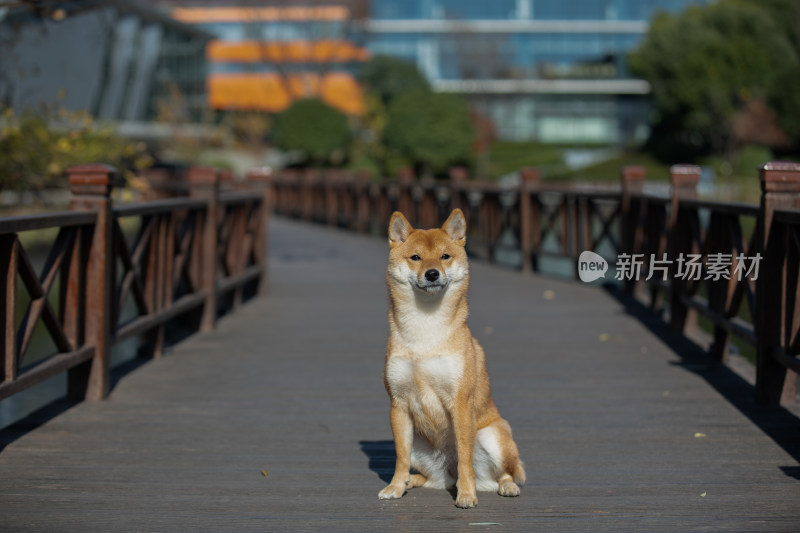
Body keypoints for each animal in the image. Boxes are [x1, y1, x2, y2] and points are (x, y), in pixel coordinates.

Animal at [380, 208, 524, 508]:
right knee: (433, 479)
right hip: (420, 445)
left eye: (445, 256)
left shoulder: (460, 401)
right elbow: (400, 457)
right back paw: (411, 481)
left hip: (493, 434)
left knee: (502, 473)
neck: (425, 331)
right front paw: (395, 486)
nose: (433, 273)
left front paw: (466, 495)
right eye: (416, 257)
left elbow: (465, 459)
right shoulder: (398, 405)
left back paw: (505, 486)